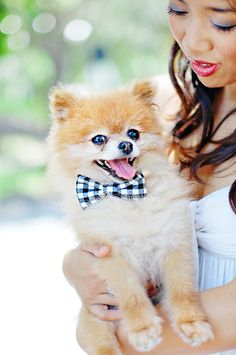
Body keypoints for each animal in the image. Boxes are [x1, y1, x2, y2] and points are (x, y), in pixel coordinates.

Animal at [47, 81, 213, 355]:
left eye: (133, 133)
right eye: (99, 139)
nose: (125, 145)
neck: (128, 194)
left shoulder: (173, 242)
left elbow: (182, 289)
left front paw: (191, 322)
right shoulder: (112, 254)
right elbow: (131, 295)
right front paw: (143, 328)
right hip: (97, 322)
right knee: (104, 346)